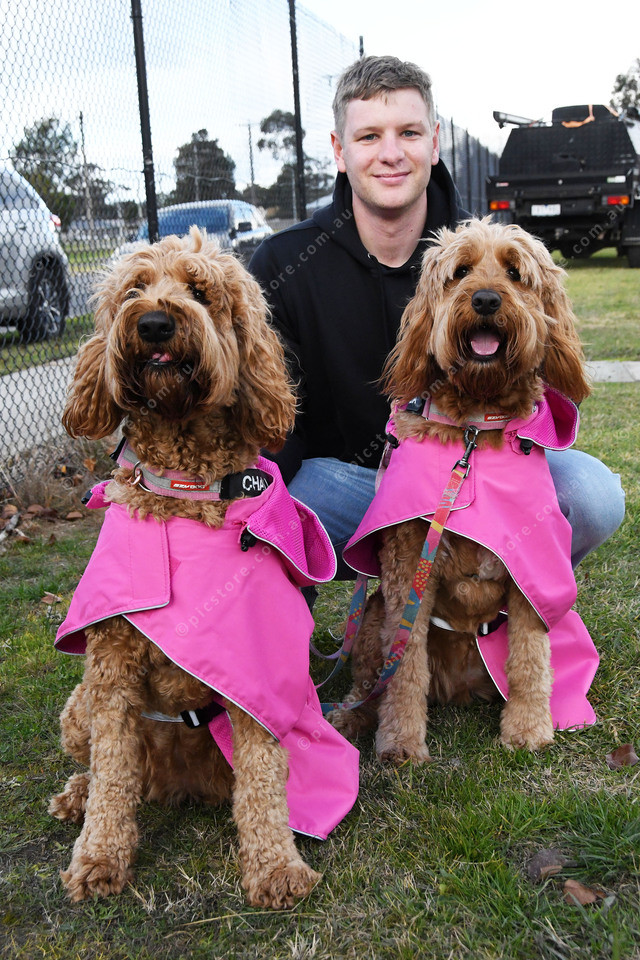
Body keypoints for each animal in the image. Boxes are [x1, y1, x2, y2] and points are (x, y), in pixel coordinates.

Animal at [49, 228, 358, 908]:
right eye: (133, 290)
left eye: (200, 291)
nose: (155, 323)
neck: (184, 491)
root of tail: (177, 784)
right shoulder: (110, 671)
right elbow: (112, 776)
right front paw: (97, 858)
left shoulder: (256, 674)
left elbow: (264, 776)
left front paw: (276, 867)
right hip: (77, 708)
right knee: (106, 771)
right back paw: (76, 794)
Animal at [331, 218, 594, 763]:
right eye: (460, 272)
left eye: (515, 272)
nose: (487, 299)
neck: (475, 426)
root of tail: (457, 690)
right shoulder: (408, 562)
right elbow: (405, 664)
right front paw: (401, 743)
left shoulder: (531, 570)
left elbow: (530, 654)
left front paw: (528, 729)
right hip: (371, 614)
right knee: (371, 678)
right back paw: (352, 716)